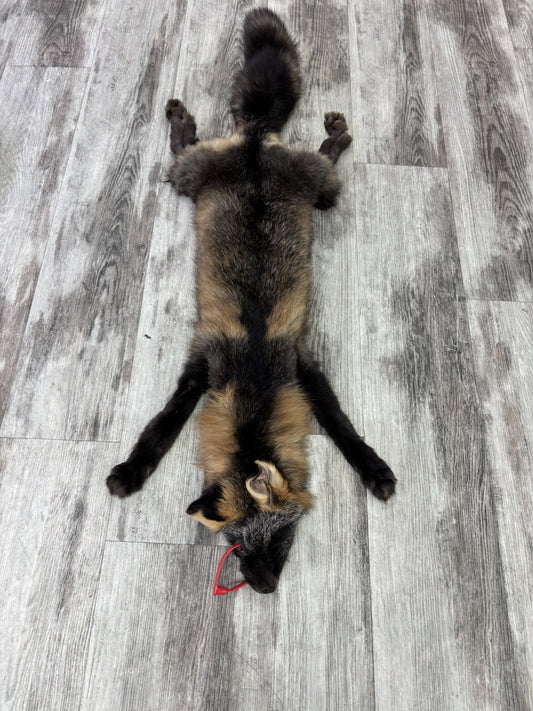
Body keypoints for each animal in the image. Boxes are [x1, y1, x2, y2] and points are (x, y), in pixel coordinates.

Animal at [106, 8, 396, 594]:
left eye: (280, 538)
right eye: (238, 546)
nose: (262, 589)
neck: (255, 380)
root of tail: (256, 141)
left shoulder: (300, 364)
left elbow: (342, 427)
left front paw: (372, 467)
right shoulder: (202, 363)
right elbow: (160, 428)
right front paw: (131, 470)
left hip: (317, 192)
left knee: (319, 162)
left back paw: (333, 136)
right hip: (190, 181)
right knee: (185, 148)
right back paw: (185, 122)